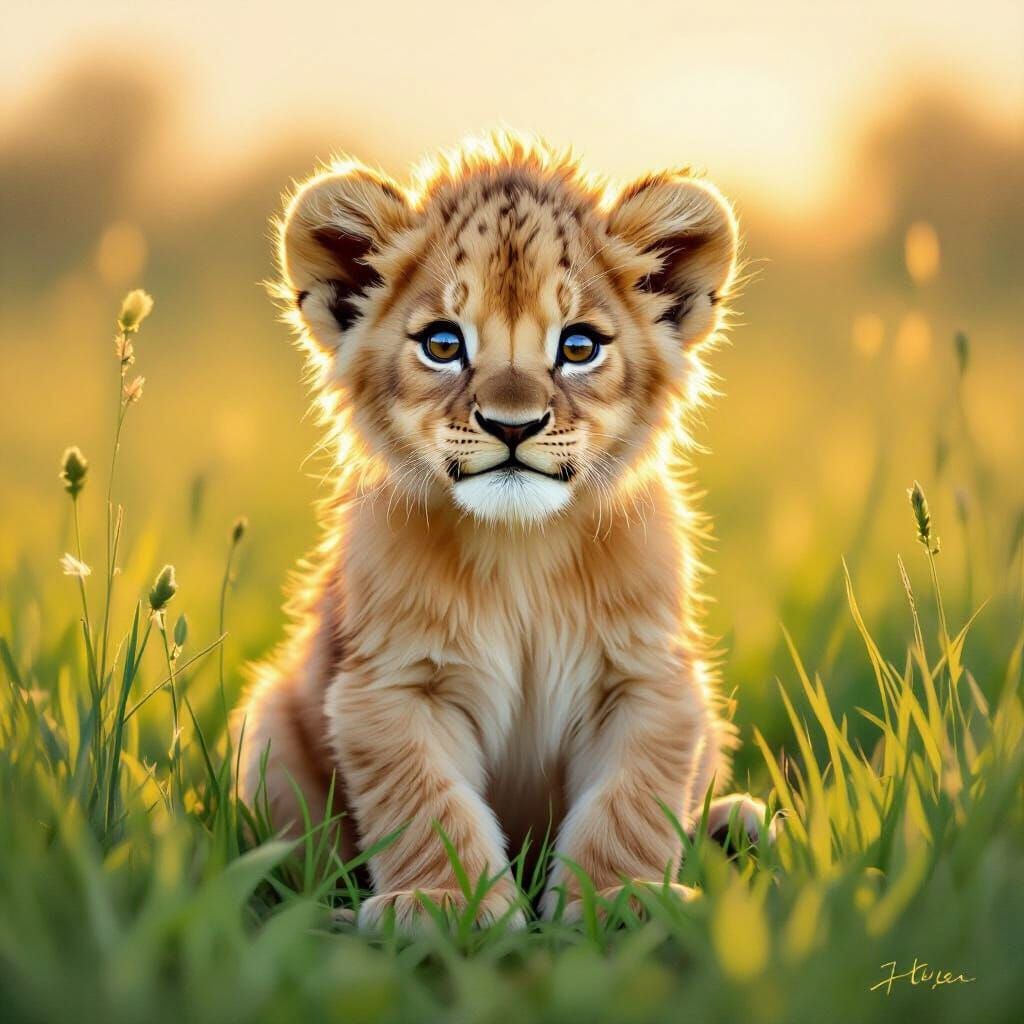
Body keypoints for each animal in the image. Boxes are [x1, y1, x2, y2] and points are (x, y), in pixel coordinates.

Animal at [236, 132, 771, 930]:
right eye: (442, 343)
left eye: (578, 347)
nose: (512, 426)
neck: (522, 551)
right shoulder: (391, 686)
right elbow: (429, 805)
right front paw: (442, 905)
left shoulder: (646, 679)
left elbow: (628, 804)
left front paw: (620, 900)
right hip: (269, 717)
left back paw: (739, 826)